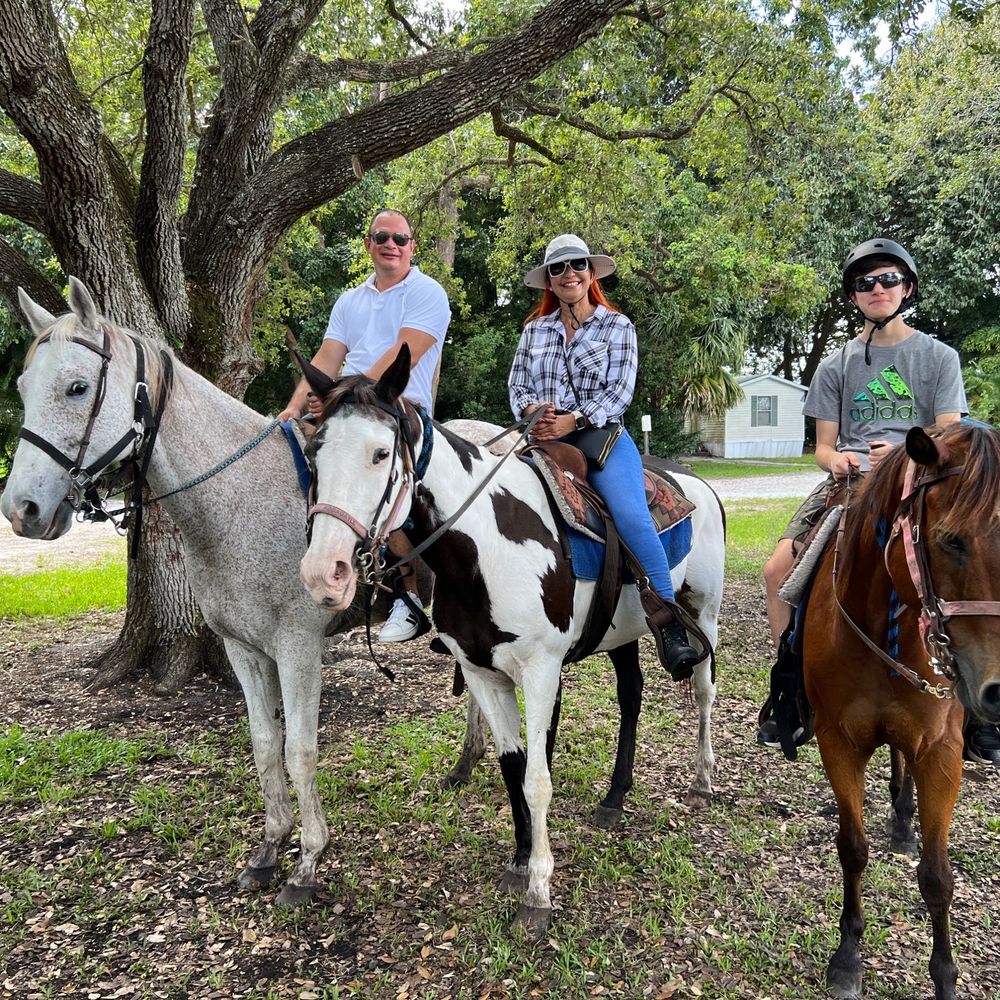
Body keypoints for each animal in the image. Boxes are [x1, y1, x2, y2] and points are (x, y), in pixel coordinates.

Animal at [298, 350, 728, 936]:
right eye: (313, 455)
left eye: (381, 453)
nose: (325, 571)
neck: (482, 548)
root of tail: (697, 484)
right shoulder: (482, 671)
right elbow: (512, 766)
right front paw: (520, 861)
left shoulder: (541, 670)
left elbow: (538, 779)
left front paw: (539, 892)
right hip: (623, 630)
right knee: (631, 696)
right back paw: (615, 797)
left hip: (704, 610)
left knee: (703, 691)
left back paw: (703, 780)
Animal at [804, 422, 1000, 1000]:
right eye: (950, 540)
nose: (997, 689)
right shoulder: (837, 741)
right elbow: (852, 848)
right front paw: (847, 957)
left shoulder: (941, 750)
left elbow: (937, 876)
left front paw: (946, 977)